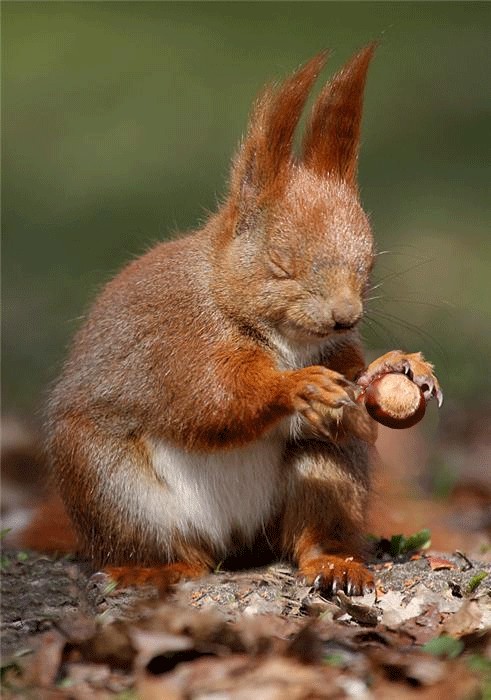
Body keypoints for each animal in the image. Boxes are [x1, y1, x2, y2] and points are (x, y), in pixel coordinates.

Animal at [38, 45, 441, 595]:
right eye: (280, 264)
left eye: (369, 263)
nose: (346, 317)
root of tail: (235, 541)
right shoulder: (179, 340)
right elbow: (212, 399)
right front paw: (297, 387)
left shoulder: (337, 351)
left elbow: (356, 389)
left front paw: (397, 366)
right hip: (109, 483)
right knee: (172, 550)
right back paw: (154, 568)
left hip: (326, 474)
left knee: (312, 526)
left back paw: (335, 563)